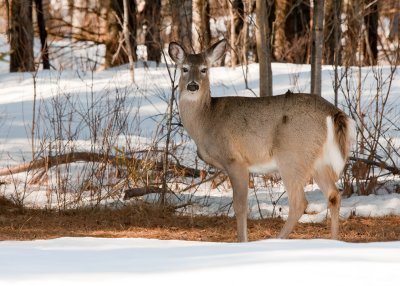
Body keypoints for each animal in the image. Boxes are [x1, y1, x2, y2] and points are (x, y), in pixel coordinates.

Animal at [167, 39, 354, 242]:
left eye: (204, 69)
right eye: (184, 68)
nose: (193, 86)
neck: (206, 120)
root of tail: (332, 112)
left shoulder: (235, 160)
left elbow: (240, 207)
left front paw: (243, 241)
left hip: (292, 156)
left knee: (299, 202)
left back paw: (277, 240)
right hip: (318, 160)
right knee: (334, 195)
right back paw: (333, 240)